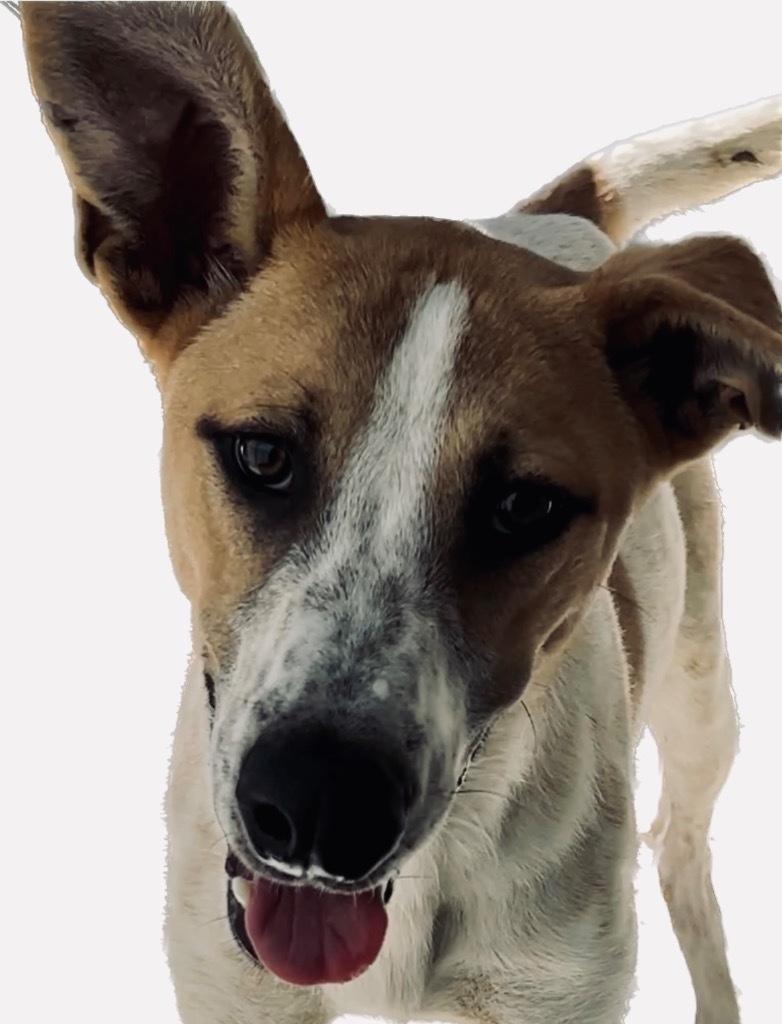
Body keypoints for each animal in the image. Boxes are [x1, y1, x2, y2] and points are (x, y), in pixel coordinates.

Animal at [19, 6, 781, 1024]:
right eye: (263, 455)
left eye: (524, 506)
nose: (319, 805)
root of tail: (557, 217)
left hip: (702, 696)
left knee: (684, 846)